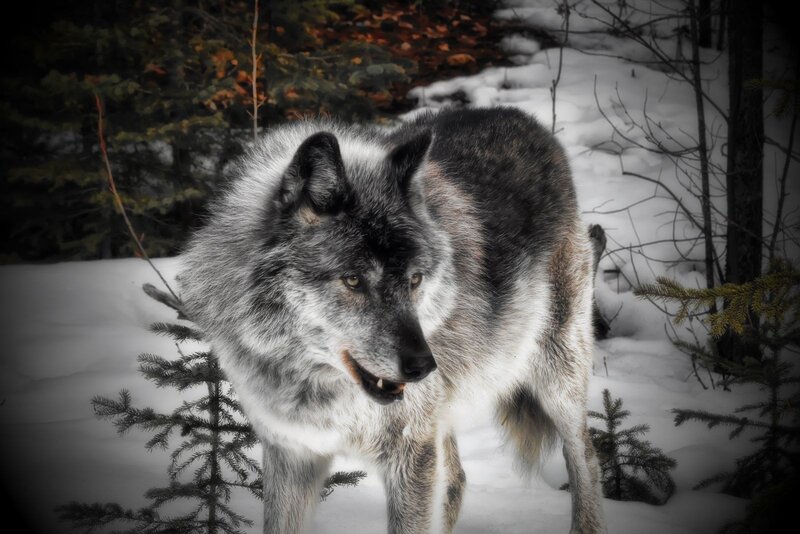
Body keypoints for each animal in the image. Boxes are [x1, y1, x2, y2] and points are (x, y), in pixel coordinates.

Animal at [179, 107, 606, 533]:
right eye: (353, 280)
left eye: (415, 280)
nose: (423, 366)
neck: (315, 386)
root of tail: (524, 119)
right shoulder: (292, 454)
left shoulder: (411, 455)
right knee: (457, 480)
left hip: (558, 381)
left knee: (587, 460)